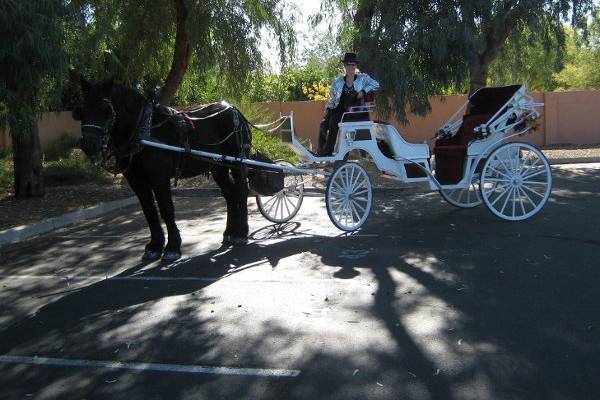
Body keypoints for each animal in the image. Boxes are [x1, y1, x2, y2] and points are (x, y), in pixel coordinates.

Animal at [72, 79, 264, 262]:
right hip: (219, 168)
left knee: (242, 191)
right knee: (230, 195)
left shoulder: (159, 177)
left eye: (106, 109)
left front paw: (172, 247)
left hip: (237, 162)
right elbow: (149, 210)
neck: (144, 129)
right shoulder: (136, 180)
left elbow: (166, 209)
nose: (89, 145)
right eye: (81, 110)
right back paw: (229, 233)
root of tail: (235, 110)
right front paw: (154, 246)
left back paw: (241, 233)